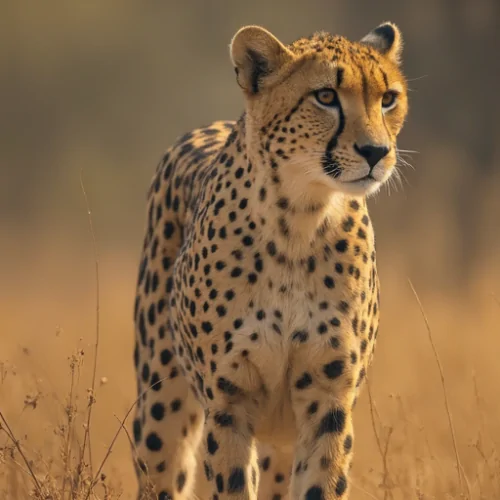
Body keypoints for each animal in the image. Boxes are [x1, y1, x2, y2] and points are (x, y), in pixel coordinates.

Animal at [132, 21, 406, 498]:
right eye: (326, 96)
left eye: (388, 98)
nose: (376, 152)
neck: (299, 220)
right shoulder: (229, 403)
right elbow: (232, 482)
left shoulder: (328, 401)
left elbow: (321, 481)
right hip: (160, 406)